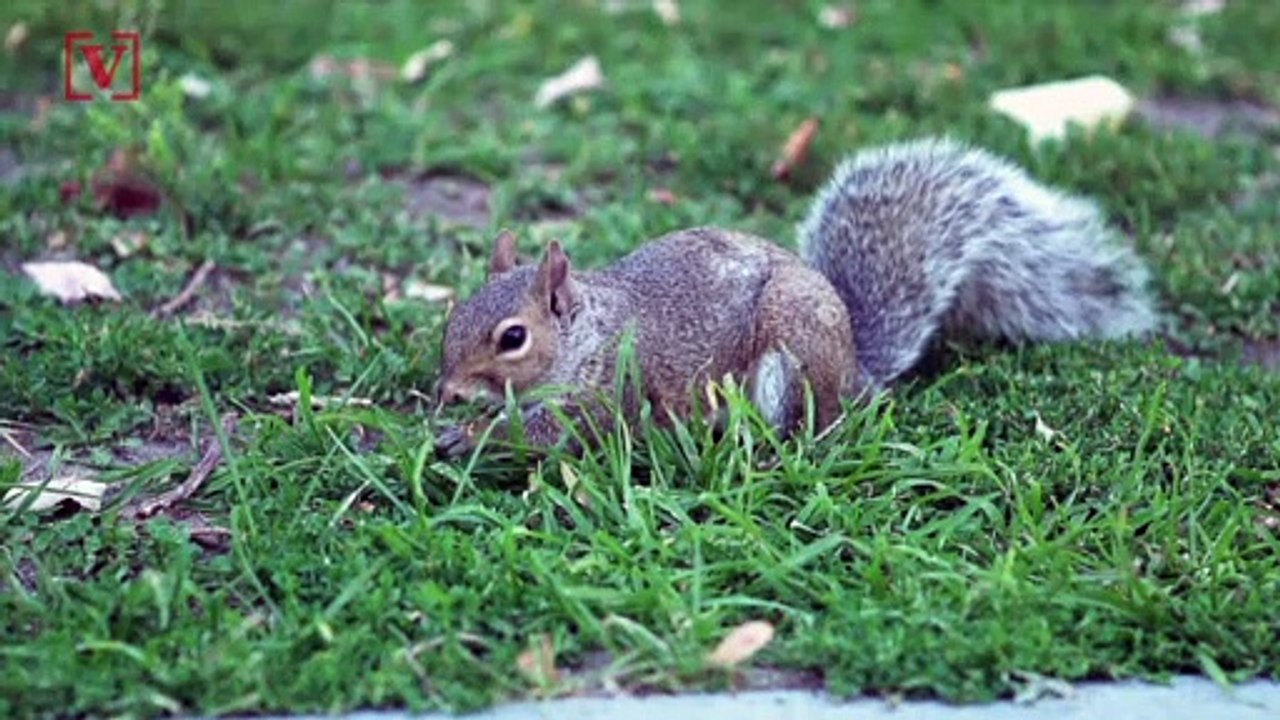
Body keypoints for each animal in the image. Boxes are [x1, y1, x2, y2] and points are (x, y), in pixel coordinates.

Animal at [433, 137, 1157, 459]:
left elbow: (555, 432)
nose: (445, 391)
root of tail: (857, 370)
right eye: (453, 317)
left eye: (512, 337)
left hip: (791, 352)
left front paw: (467, 436)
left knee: (804, 427)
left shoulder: (608, 388)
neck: (586, 334)